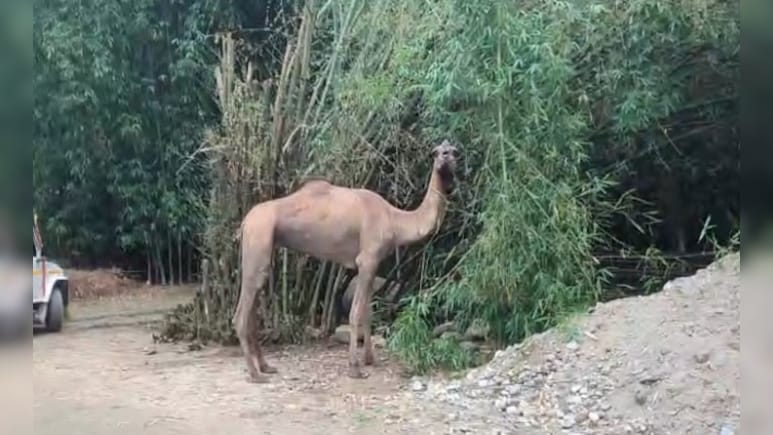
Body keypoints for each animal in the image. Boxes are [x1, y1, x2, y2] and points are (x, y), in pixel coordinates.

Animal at [233, 140, 459, 382]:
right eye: (436, 152)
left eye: (455, 152)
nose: (446, 158)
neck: (394, 221)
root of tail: (245, 222)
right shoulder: (368, 258)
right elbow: (356, 312)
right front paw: (355, 368)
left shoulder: (372, 264)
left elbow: (368, 312)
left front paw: (370, 360)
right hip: (258, 241)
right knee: (241, 314)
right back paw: (255, 374)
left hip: (263, 249)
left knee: (252, 308)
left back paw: (266, 367)